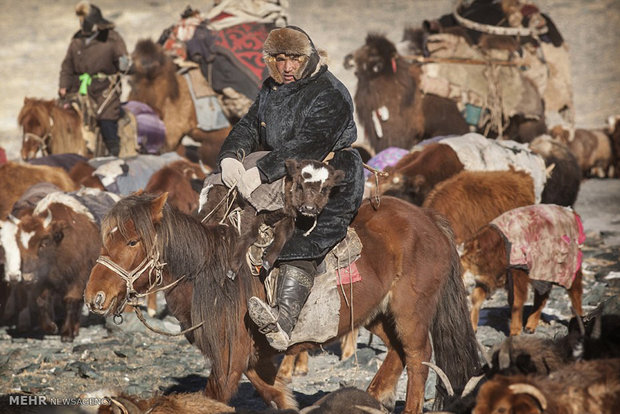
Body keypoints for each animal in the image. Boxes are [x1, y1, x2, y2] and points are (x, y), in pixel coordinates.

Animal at [82, 192, 480, 412]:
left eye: (133, 242)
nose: (94, 297)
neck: (209, 273)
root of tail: (428, 219)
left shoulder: (230, 358)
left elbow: (216, 396)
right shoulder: (253, 355)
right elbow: (268, 389)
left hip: (410, 311)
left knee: (417, 356)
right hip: (378, 313)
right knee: (397, 351)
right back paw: (375, 395)